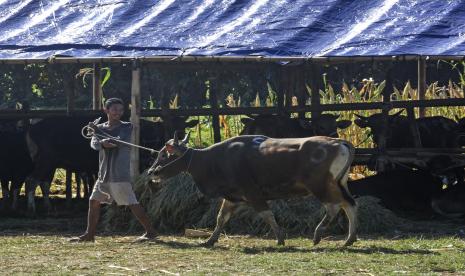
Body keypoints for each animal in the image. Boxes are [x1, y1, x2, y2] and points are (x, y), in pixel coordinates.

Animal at [23, 115, 198, 212]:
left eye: (183, 127)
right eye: (166, 125)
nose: (177, 141)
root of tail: (32, 127)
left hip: (48, 163)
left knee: (43, 183)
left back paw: (47, 206)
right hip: (46, 160)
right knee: (31, 180)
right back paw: (31, 209)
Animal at [149, 133, 356, 247]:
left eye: (164, 155)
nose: (152, 172)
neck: (214, 159)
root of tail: (339, 142)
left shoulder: (253, 194)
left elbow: (267, 215)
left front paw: (280, 238)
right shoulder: (232, 197)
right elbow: (221, 218)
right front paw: (210, 240)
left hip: (320, 186)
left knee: (334, 206)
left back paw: (318, 234)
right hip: (340, 184)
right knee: (350, 205)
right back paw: (349, 239)